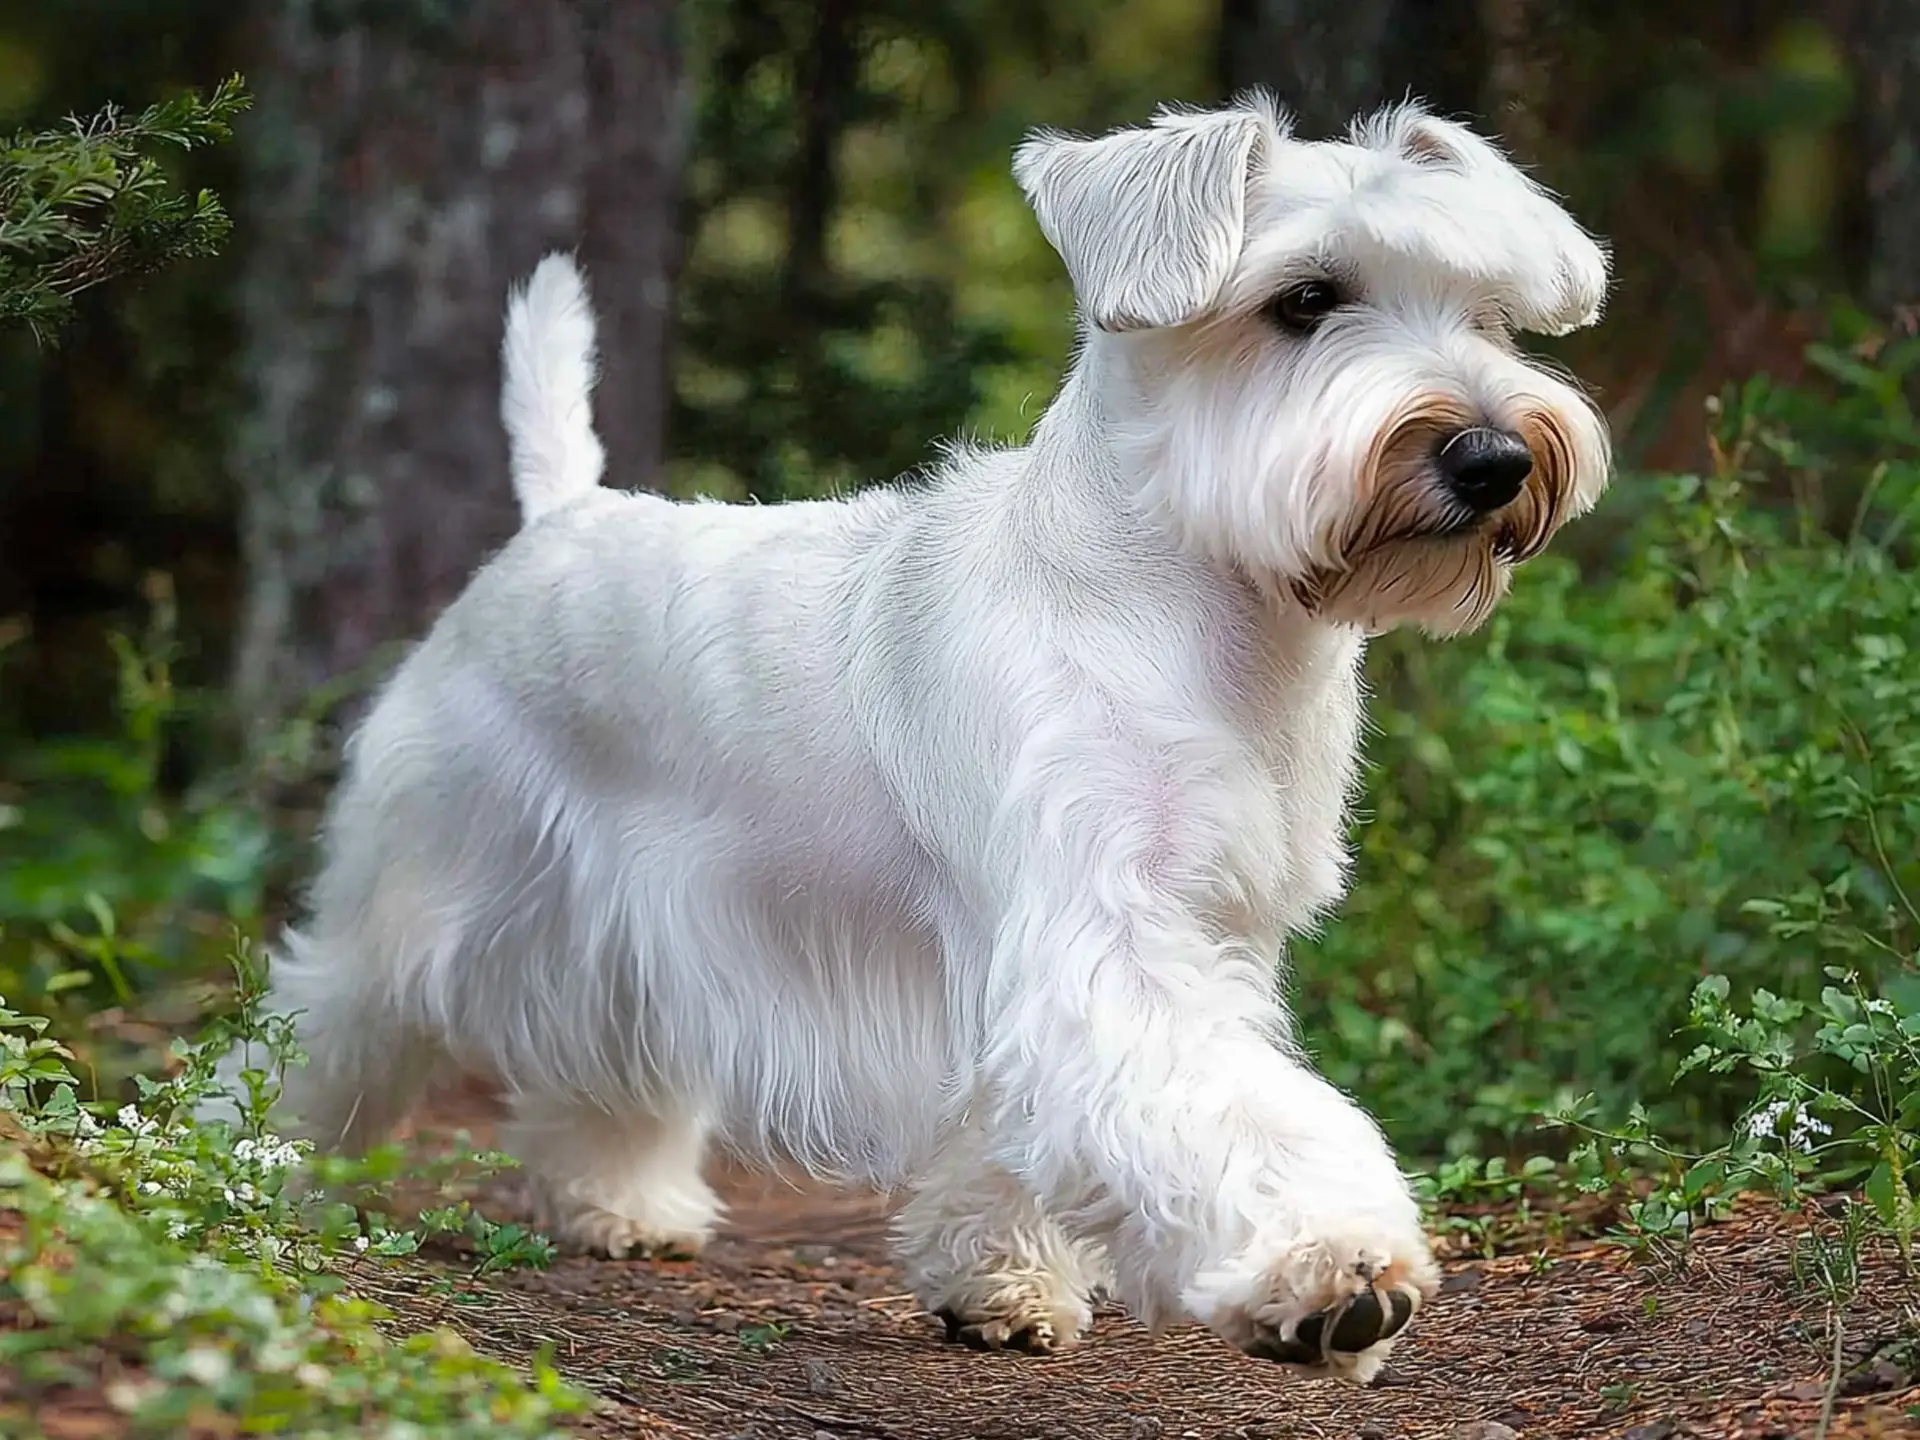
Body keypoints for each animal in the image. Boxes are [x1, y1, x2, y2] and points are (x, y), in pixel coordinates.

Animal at [247, 93, 1612, 1390]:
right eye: (1306, 299)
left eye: (1489, 314)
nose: (1492, 457)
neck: (1199, 611)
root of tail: (558, 515)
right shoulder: (1102, 940)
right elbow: (1246, 1111)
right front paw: (1330, 1269)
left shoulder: (1150, 935)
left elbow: (1033, 1130)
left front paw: (1000, 1283)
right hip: (422, 889)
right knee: (317, 1024)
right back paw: (243, 1169)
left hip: (623, 933)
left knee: (607, 1072)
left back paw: (620, 1206)